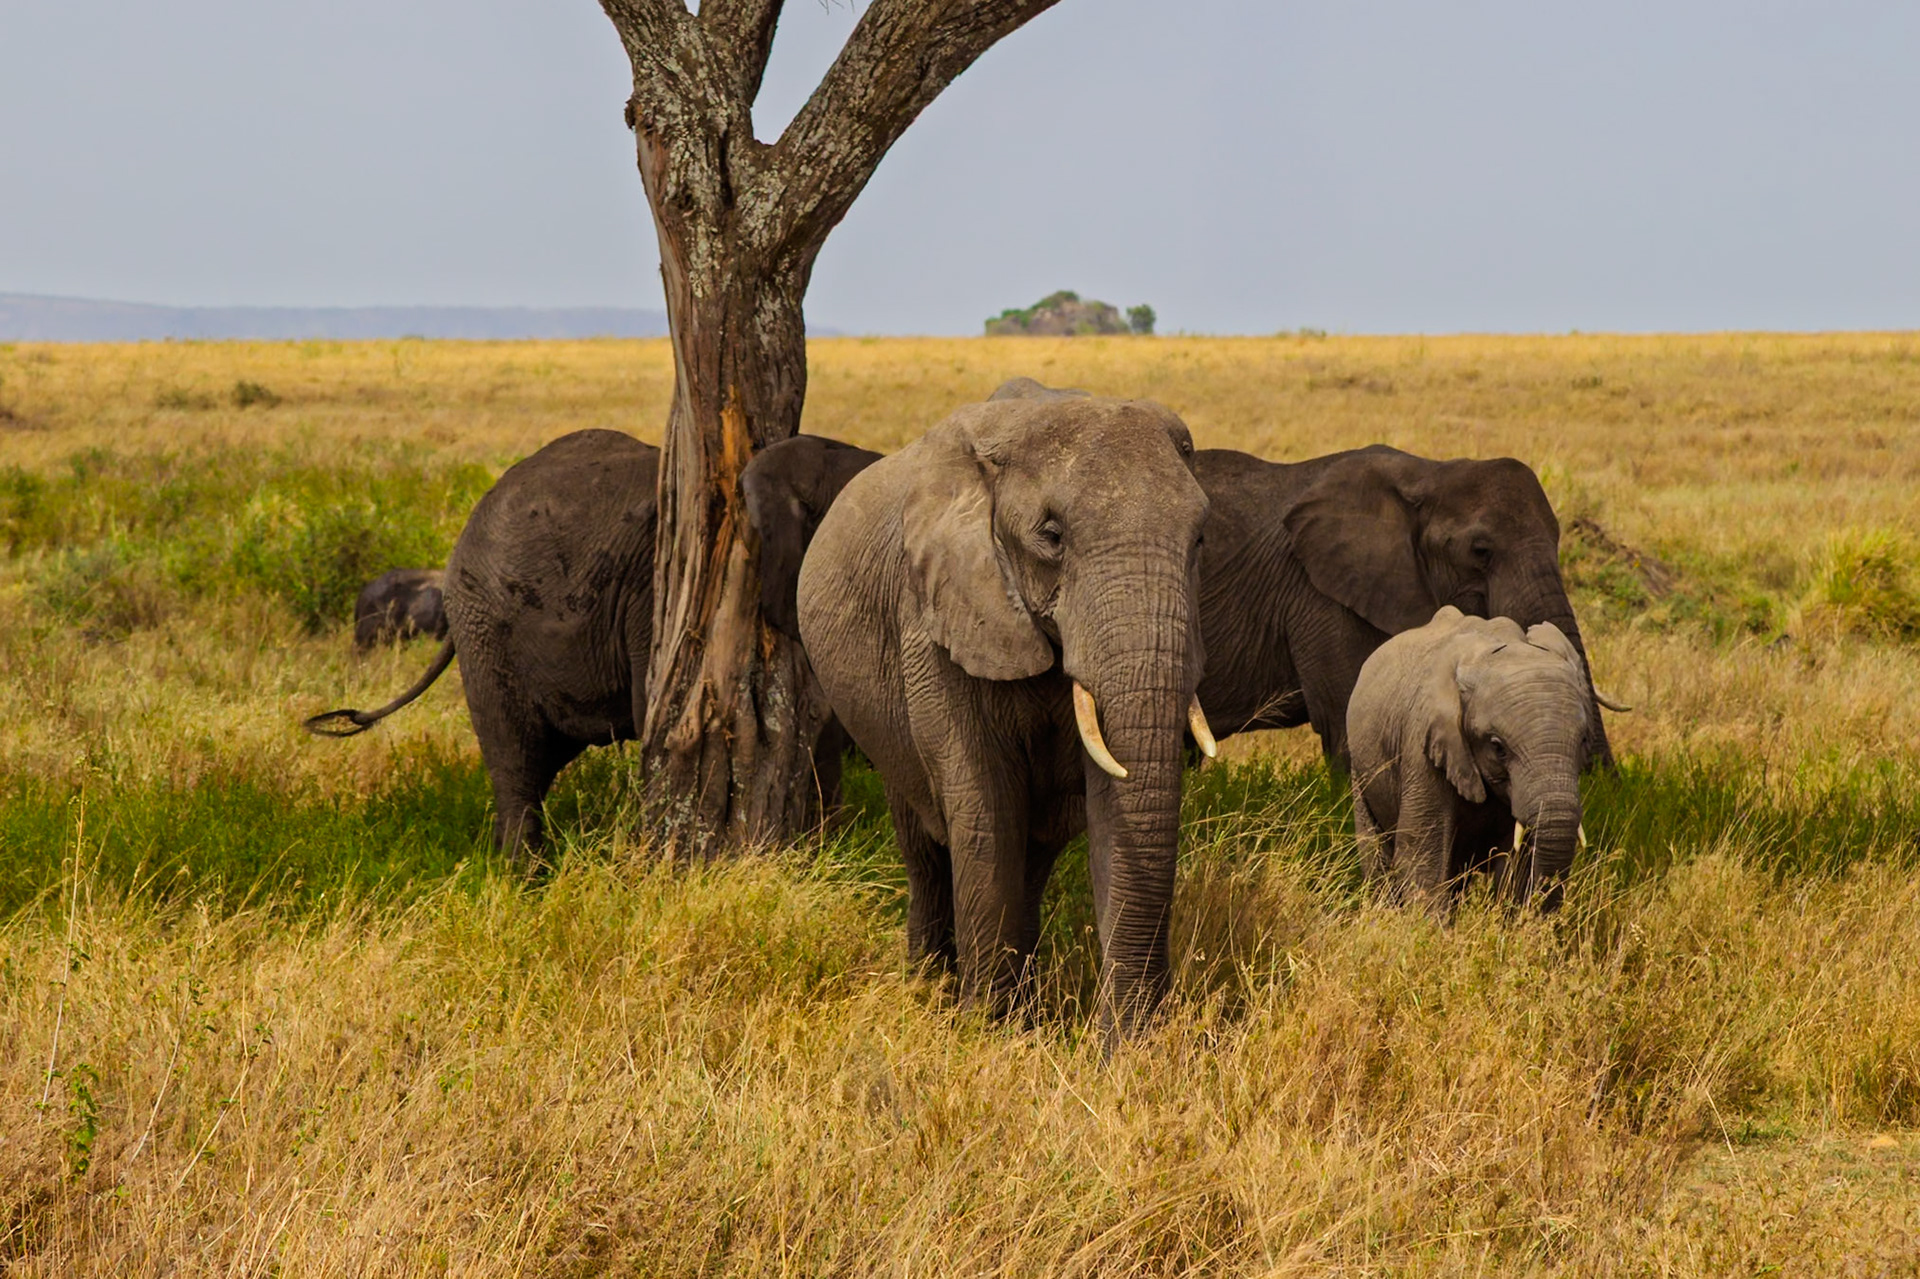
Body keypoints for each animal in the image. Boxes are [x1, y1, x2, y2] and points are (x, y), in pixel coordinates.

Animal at [797, 394, 1215, 1040]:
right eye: (1052, 535)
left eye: (1198, 539)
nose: (1141, 1038)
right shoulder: (938, 616)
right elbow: (984, 809)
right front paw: (984, 1036)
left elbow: (1110, 810)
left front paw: (1126, 1051)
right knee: (926, 849)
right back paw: (931, 988)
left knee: (1033, 856)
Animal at [1346, 605, 1591, 913]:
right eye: (1498, 747)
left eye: (1583, 742)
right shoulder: (1422, 748)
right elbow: (1424, 857)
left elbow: (1520, 864)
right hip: (1360, 768)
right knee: (1375, 850)